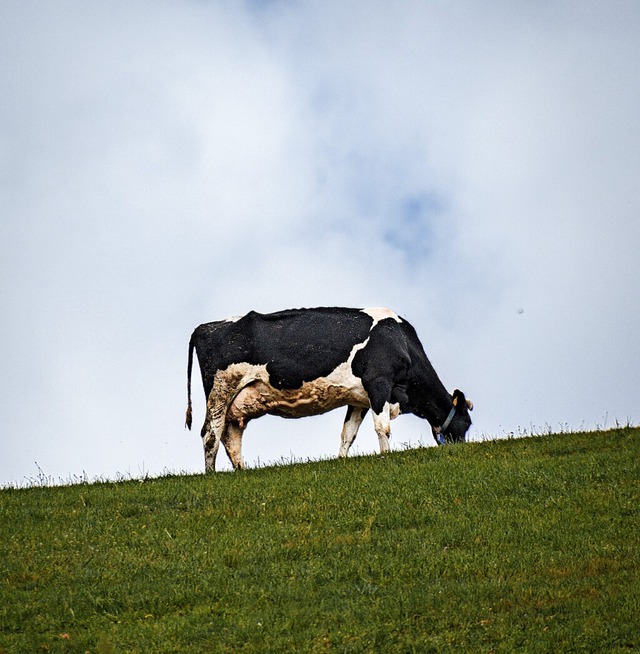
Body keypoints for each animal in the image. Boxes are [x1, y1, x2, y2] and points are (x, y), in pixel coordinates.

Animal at [185, 308, 470, 472]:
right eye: (467, 423)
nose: (461, 446)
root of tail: (204, 327)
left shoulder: (360, 399)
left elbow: (348, 434)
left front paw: (341, 460)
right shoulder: (379, 383)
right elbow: (383, 428)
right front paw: (386, 457)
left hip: (237, 401)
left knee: (231, 437)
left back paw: (241, 472)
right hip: (221, 390)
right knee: (210, 433)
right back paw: (211, 475)